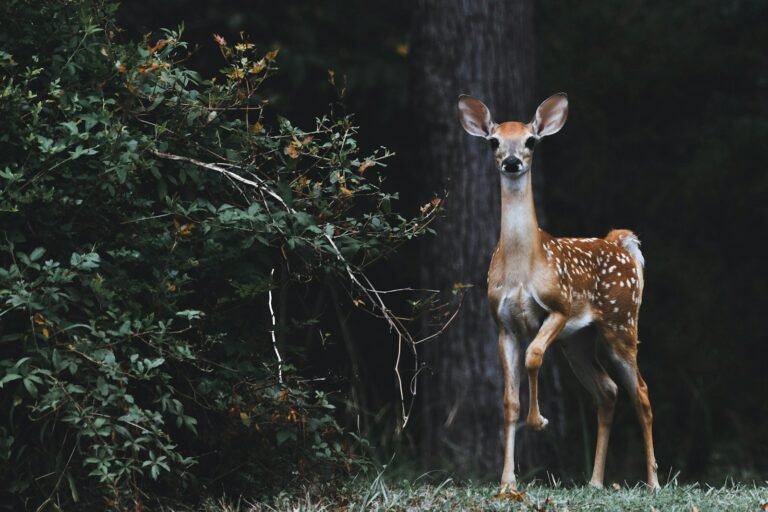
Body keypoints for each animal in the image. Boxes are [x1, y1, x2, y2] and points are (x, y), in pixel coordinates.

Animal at [457, 93, 660, 492]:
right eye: (493, 142)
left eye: (531, 141)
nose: (512, 162)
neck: (523, 267)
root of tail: (621, 243)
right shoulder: (502, 324)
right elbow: (509, 401)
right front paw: (508, 481)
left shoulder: (559, 307)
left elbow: (534, 356)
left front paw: (539, 421)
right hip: (578, 340)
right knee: (607, 390)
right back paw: (595, 482)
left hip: (621, 322)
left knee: (641, 392)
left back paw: (654, 482)